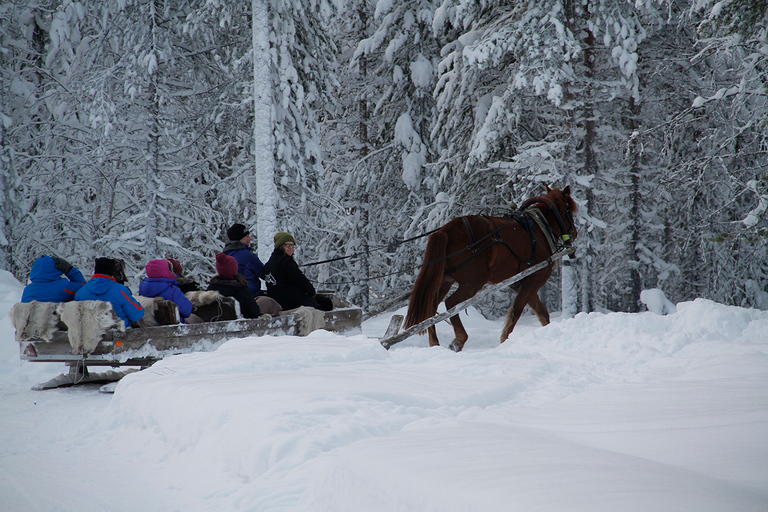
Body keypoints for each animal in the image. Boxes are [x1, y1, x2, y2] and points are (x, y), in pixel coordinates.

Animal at [402, 187, 576, 352]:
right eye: (569, 210)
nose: (574, 232)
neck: (541, 228)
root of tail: (445, 230)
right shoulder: (534, 280)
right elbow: (516, 311)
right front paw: (505, 340)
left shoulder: (522, 284)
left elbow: (541, 313)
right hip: (474, 281)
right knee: (451, 303)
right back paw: (459, 339)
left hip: (445, 280)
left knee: (430, 308)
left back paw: (434, 343)